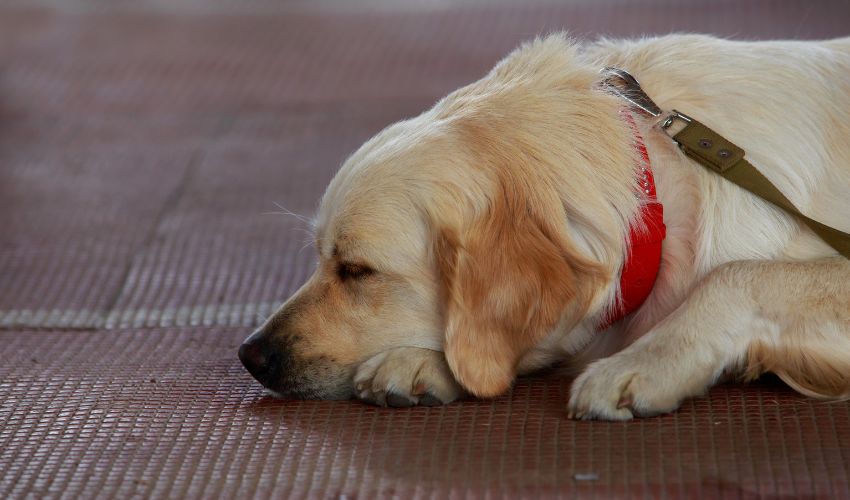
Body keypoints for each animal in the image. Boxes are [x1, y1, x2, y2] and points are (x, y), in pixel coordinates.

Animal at [237, 33, 848, 420]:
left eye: (356, 270)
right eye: (320, 257)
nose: (250, 355)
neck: (656, 189)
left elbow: (739, 275)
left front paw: (645, 363)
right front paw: (424, 362)